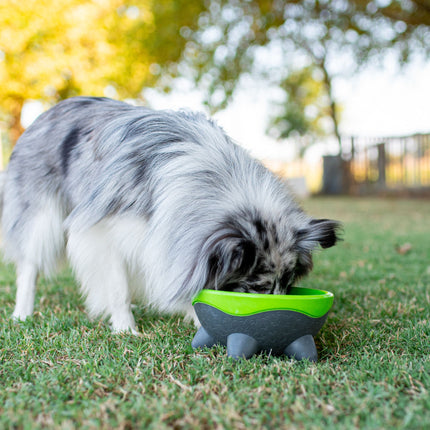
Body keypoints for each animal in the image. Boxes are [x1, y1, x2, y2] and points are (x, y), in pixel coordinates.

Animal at [1, 97, 340, 332]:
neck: (215, 181)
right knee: (29, 265)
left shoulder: (167, 240)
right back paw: (22, 313)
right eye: (257, 288)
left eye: (289, 282)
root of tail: (46, 112)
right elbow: (117, 287)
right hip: (42, 218)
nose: (280, 312)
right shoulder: (103, 234)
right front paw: (126, 330)